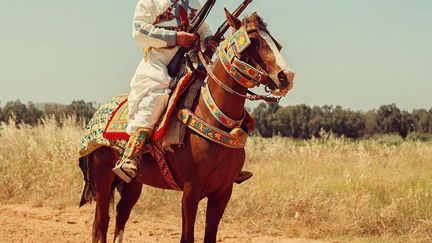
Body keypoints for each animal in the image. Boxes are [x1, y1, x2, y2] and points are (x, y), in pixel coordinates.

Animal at [82, 9, 294, 243]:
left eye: (276, 44)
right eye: (253, 40)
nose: (287, 76)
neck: (215, 118)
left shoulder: (223, 192)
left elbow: (210, 236)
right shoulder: (191, 191)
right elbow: (187, 236)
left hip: (134, 183)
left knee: (121, 216)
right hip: (103, 178)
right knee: (102, 221)